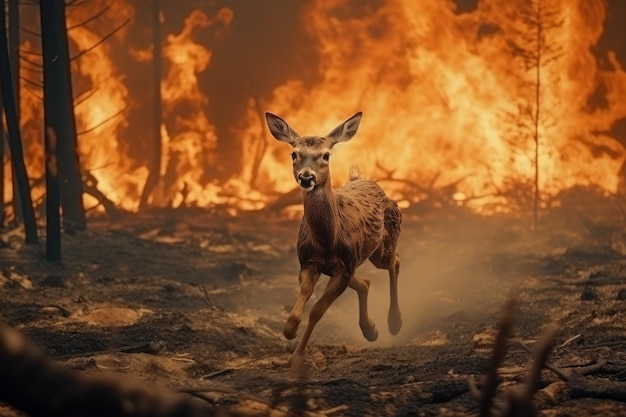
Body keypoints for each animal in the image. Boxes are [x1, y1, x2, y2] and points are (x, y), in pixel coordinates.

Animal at [264, 109, 402, 360]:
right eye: (294, 154)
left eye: (326, 155)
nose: (306, 177)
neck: (329, 241)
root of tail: (363, 179)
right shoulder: (308, 262)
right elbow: (298, 309)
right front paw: (290, 333)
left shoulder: (344, 267)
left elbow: (317, 311)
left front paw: (297, 359)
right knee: (365, 282)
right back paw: (371, 330)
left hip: (382, 245)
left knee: (393, 261)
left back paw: (394, 322)